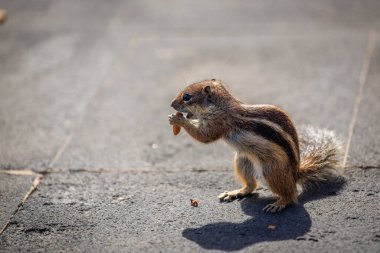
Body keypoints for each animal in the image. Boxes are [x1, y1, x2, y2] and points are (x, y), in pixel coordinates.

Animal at [168, 79, 342, 213]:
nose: (171, 104)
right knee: (252, 185)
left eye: (186, 96)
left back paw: (279, 203)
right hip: (242, 160)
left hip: (272, 171)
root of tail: (295, 173)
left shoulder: (219, 122)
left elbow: (204, 136)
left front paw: (178, 120)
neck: (222, 105)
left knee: (291, 194)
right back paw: (236, 192)